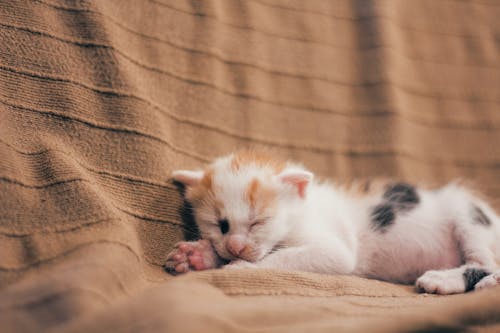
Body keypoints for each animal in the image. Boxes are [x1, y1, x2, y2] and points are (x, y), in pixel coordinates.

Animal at [166, 150, 500, 294]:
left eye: (258, 222)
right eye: (220, 224)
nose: (235, 246)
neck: (301, 212)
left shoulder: (336, 248)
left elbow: (286, 258)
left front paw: (238, 268)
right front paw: (199, 256)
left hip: (468, 212)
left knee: (488, 264)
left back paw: (446, 280)